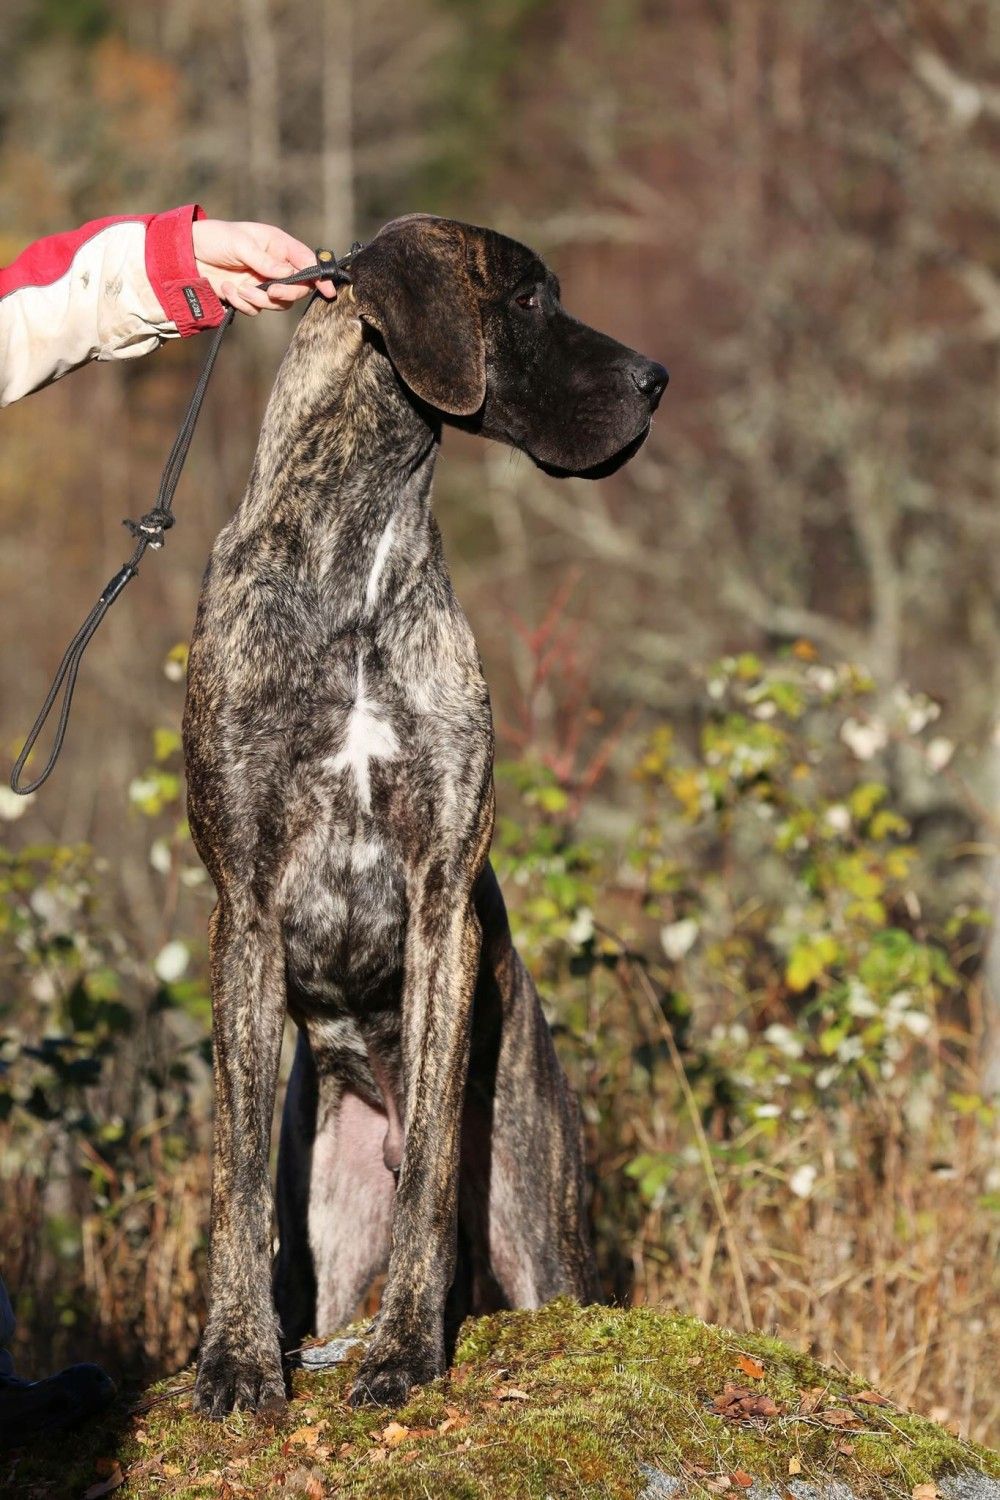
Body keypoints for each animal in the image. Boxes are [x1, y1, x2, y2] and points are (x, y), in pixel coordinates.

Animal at [183, 214, 668, 1416]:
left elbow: (436, 1180)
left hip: (540, 1228)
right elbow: (234, 1176)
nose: (658, 379)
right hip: (331, 1215)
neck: (358, 559)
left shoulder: (443, 896)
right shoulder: (244, 905)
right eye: (529, 300)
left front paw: (406, 1347)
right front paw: (236, 1357)